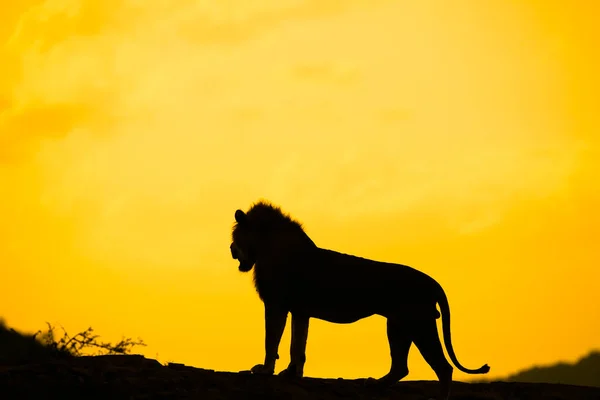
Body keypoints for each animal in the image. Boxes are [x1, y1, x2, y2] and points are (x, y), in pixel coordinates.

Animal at [229, 200, 488, 400]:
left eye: (235, 236)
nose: (231, 249)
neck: (266, 246)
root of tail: (431, 281)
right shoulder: (300, 311)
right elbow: (297, 346)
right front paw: (292, 373)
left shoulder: (276, 304)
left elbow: (271, 340)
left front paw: (264, 371)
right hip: (399, 325)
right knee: (401, 367)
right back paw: (375, 384)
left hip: (418, 323)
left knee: (443, 368)